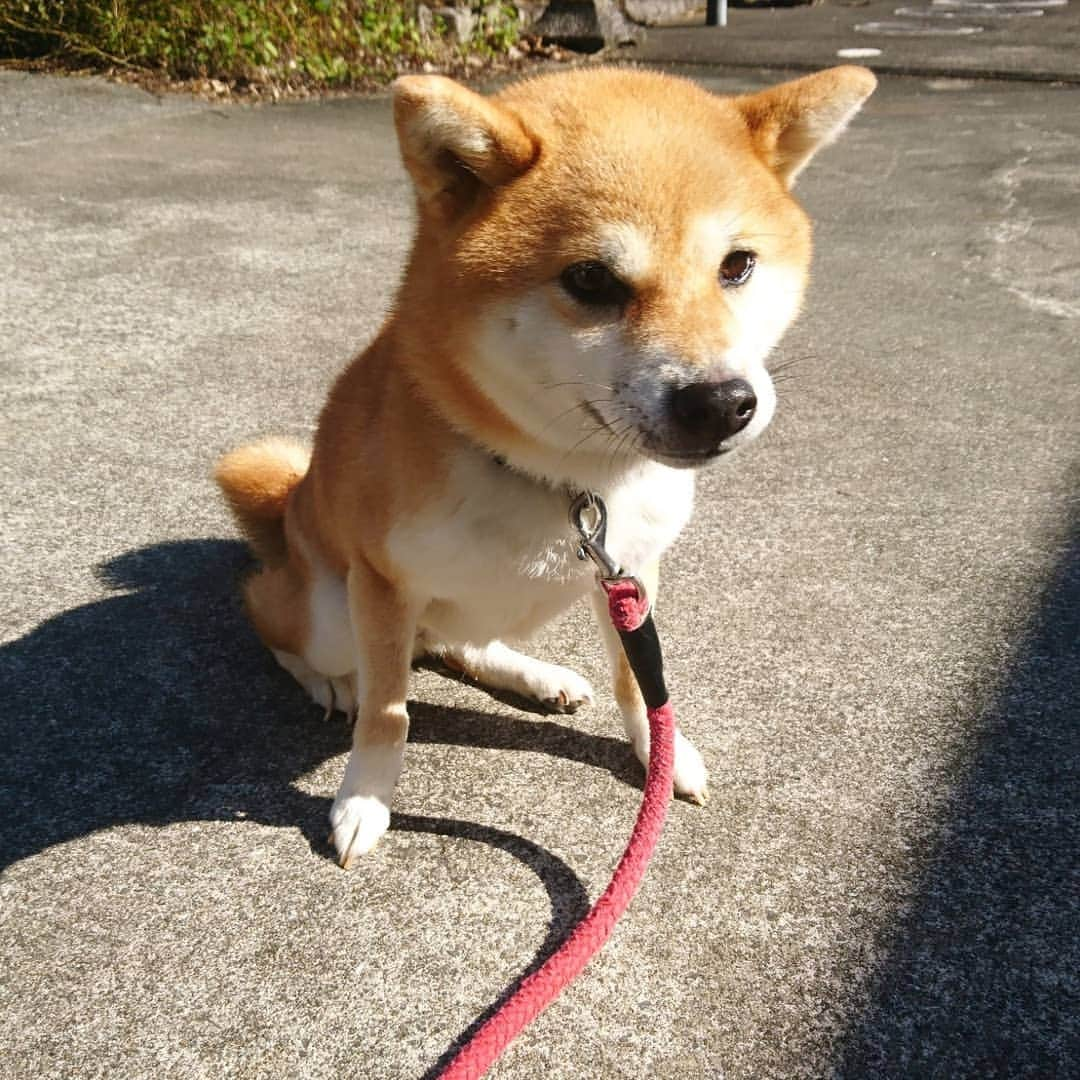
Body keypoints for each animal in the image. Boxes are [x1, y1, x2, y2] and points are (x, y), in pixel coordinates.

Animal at [214, 63, 872, 868]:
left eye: (737, 265)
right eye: (590, 280)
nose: (722, 402)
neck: (568, 482)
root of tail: (290, 508)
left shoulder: (631, 575)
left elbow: (641, 682)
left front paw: (663, 753)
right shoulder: (383, 583)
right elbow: (389, 713)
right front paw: (364, 798)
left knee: (461, 642)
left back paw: (535, 676)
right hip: (331, 610)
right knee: (276, 618)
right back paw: (330, 682)